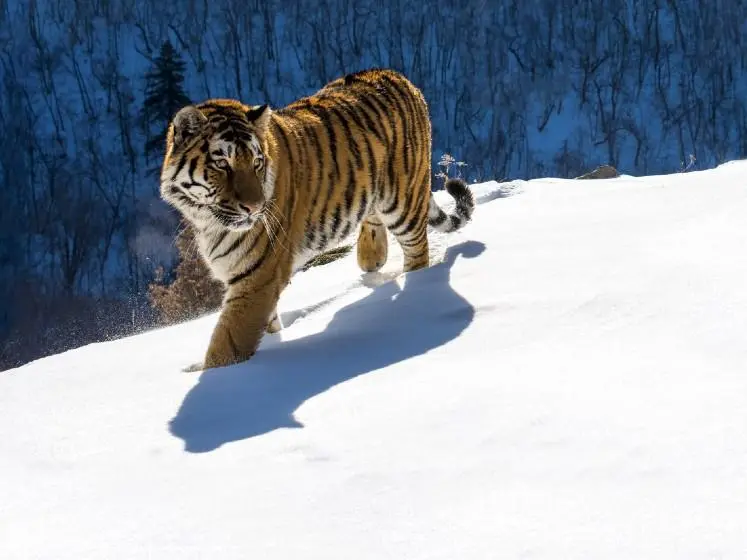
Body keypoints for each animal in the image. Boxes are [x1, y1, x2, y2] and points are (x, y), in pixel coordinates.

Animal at [159, 68, 475, 370]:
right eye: (222, 164)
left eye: (256, 163)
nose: (255, 207)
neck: (206, 220)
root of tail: (401, 78)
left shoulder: (256, 279)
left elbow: (225, 346)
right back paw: (371, 257)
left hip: (404, 201)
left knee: (417, 251)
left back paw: (415, 283)